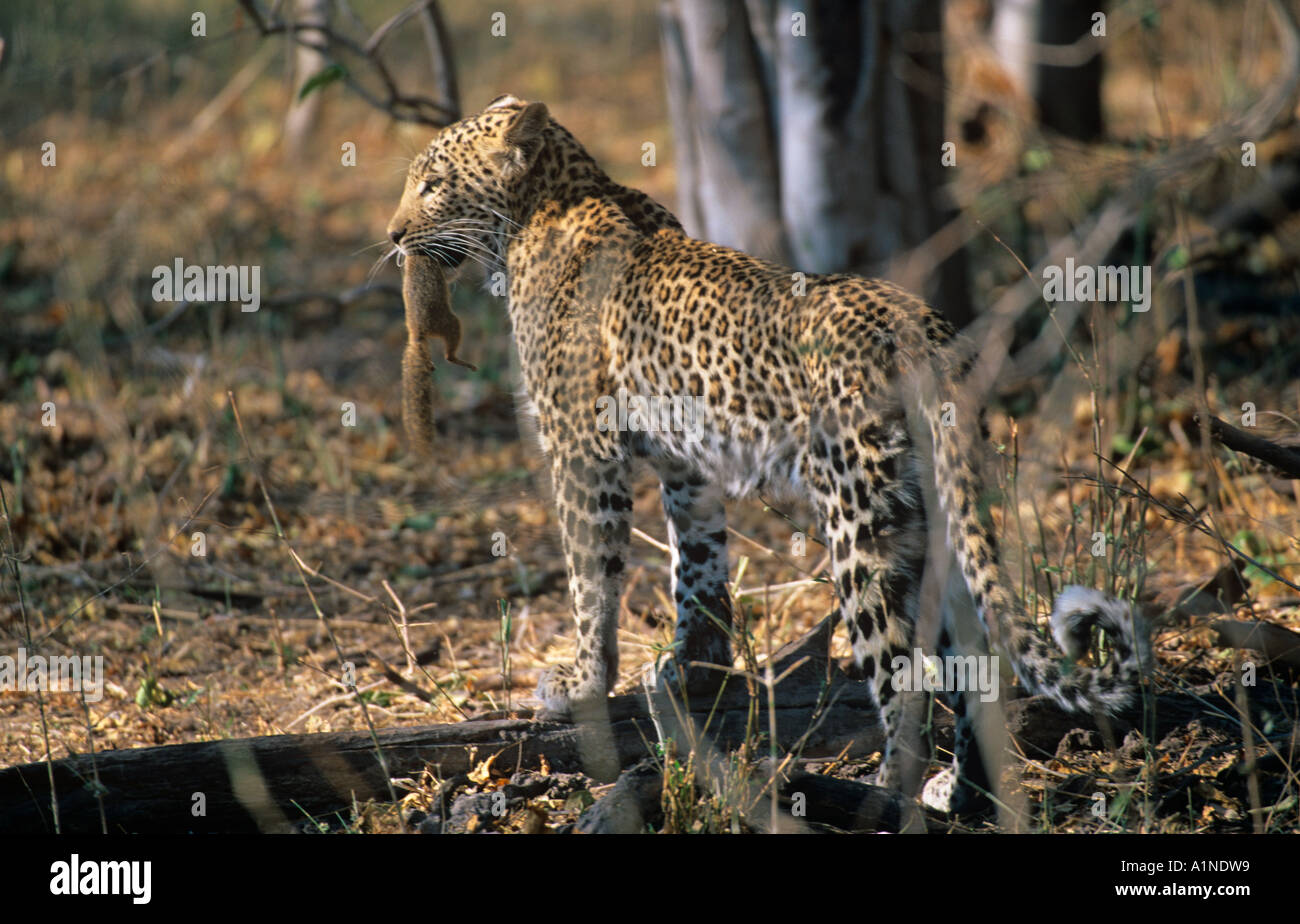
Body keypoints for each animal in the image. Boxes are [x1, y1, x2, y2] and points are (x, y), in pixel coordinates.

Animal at [385, 95, 1152, 815]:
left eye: (433, 183)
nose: (393, 238)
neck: (545, 202)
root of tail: (921, 327)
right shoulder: (683, 463)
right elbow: (696, 563)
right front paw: (696, 667)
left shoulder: (583, 450)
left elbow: (589, 581)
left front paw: (580, 682)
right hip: (933, 517)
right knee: (972, 663)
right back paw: (961, 794)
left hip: (858, 522)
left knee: (902, 673)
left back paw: (885, 795)